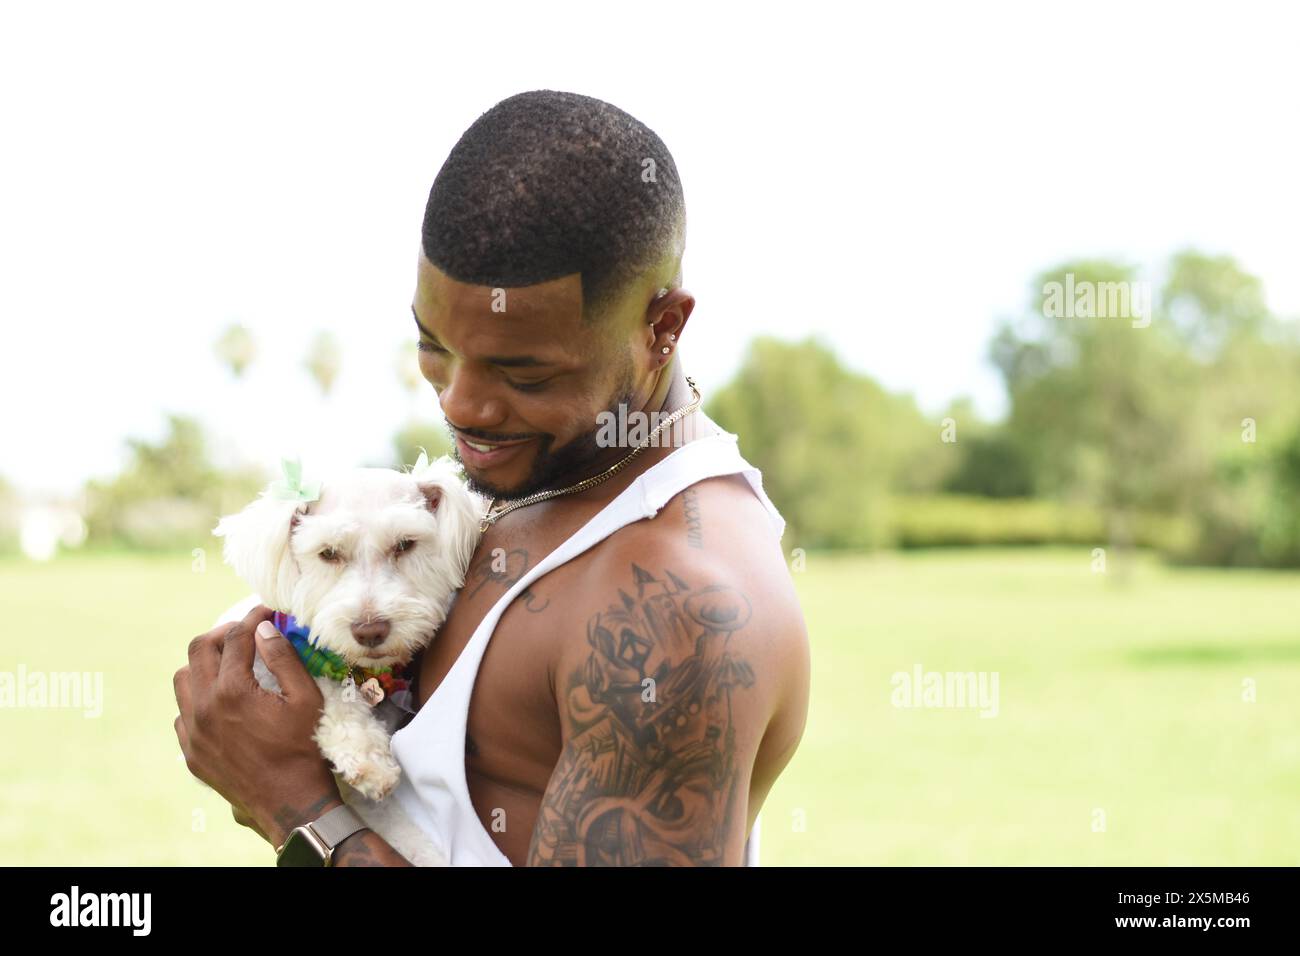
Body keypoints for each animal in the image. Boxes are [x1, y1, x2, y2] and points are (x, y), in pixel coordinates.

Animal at [210, 450, 486, 868]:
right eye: (328, 553)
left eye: (404, 544)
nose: (369, 630)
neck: (360, 670)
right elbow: (329, 688)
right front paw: (362, 750)